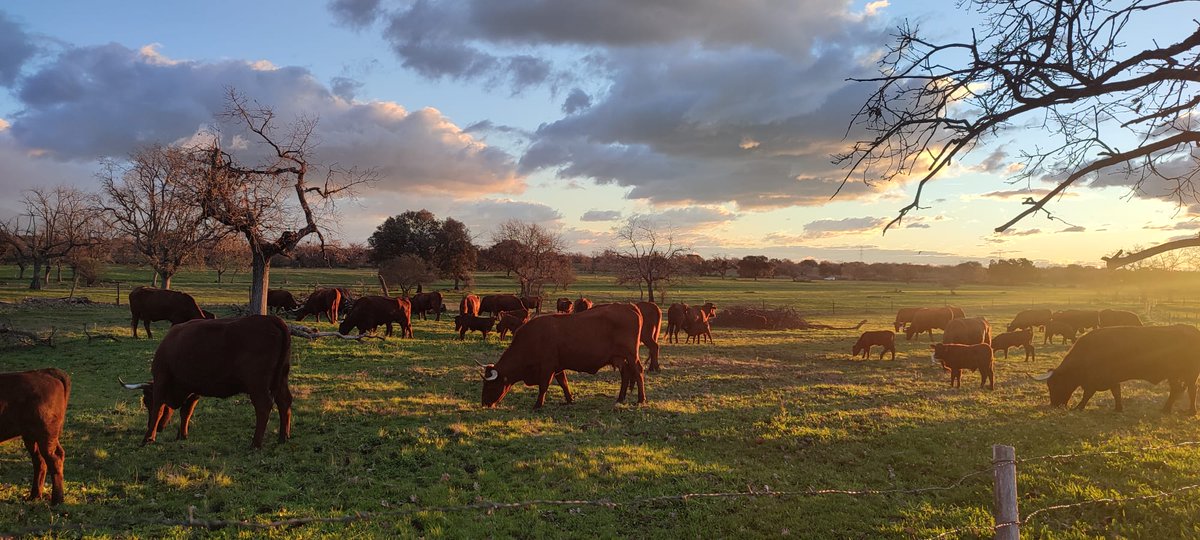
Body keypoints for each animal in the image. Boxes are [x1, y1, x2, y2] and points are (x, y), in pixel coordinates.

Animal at [0, 369, 69, 504]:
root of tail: (44, 372)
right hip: (33, 437)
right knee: (40, 461)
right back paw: (35, 496)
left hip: (45, 436)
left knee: (54, 459)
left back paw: (57, 500)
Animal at [119, 314, 292, 448]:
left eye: (146, 401)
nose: (156, 428)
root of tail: (271, 319)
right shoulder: (193, 389)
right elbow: (186, 411)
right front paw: (182, 435)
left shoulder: (162, 379)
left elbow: (159, 409)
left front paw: (148, 438)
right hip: (281, 379)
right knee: (285, 402)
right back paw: (283, 438)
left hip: (257, 385)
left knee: (263, 406)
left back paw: (255, 443)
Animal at [480, 303, 648, 410]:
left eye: (490, 385)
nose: (484, 403)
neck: (532, 339)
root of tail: (630, 306)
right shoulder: (558, 367)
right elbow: (564, 383)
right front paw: (569, 400)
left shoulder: (547, 367)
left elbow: (543, 386)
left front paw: (538, 405)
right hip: (619, 358)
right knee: (626, 373)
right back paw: (620, 398)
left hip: (631, 355)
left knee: (638, 371)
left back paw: (641, 399)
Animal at [1027, 324, 1200, 412]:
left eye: (1054, 384)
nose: (1054, 405)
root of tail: (1193, 330)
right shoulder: (1111, 379)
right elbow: (1116, 393)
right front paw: (1118, 408)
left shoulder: (1095, 381)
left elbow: (1087, 394)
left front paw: (1078, 407)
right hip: (1176, 375)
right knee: (1177, 390)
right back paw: (1167, 409)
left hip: (1189, 375)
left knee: (1191, 391)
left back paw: (1190, 411)